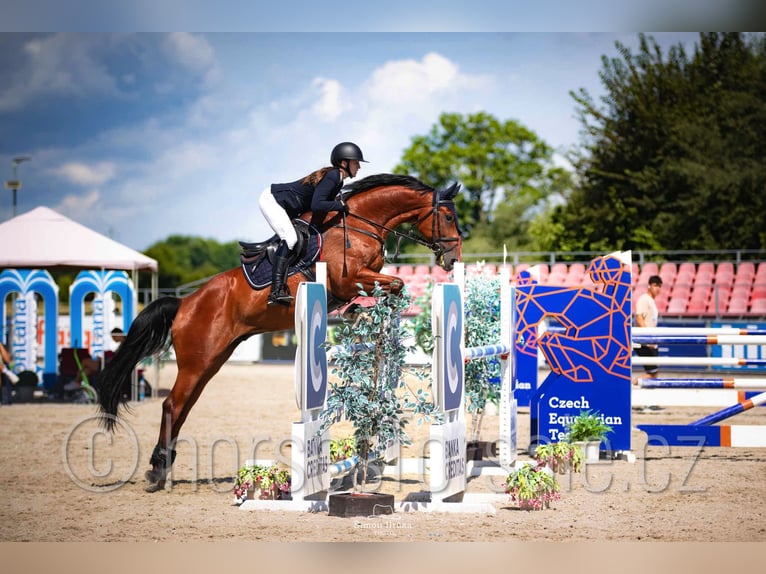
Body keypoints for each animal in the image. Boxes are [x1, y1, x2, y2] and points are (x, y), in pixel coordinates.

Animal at [97, 173, 463, 492]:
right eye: (447, 216)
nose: (454, 258)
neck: (361, 224)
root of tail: (185, 302)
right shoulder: (348, 279)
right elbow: (396, 282)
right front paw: (362, 311)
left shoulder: (362, 279)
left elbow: (393, 287)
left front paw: (363, 313)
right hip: (197, 361)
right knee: (172, 405)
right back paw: (157, 471)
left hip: (212, 360)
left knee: (184, 406)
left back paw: (162, 466)